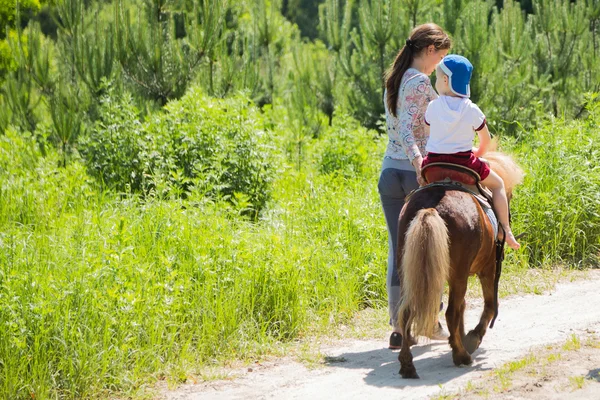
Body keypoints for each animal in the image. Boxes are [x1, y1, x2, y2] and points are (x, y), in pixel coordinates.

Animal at [396, 145, 524, 378]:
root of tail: (431, 209)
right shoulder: (488, 269)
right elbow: (490, 305)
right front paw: (472, 338)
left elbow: (465, 306)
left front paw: (462, 337)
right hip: (460, 274)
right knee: (451, 313)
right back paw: (462, 355)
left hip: (408, 271)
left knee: (407, 310)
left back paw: (407, 364)